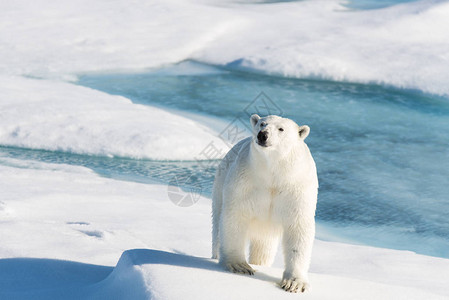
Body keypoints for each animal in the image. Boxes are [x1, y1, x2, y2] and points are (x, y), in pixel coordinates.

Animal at [212, 113, 316, 292]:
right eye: (262, 124)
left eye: (281, 129)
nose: (263, 135)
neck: (273, 173)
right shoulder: (245, 181)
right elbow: (235, 216)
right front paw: (239, 265)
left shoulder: (297, 188)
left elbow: (298, 227)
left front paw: (294, 282)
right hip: (220, 185)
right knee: (217, 228)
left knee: (264, 246)